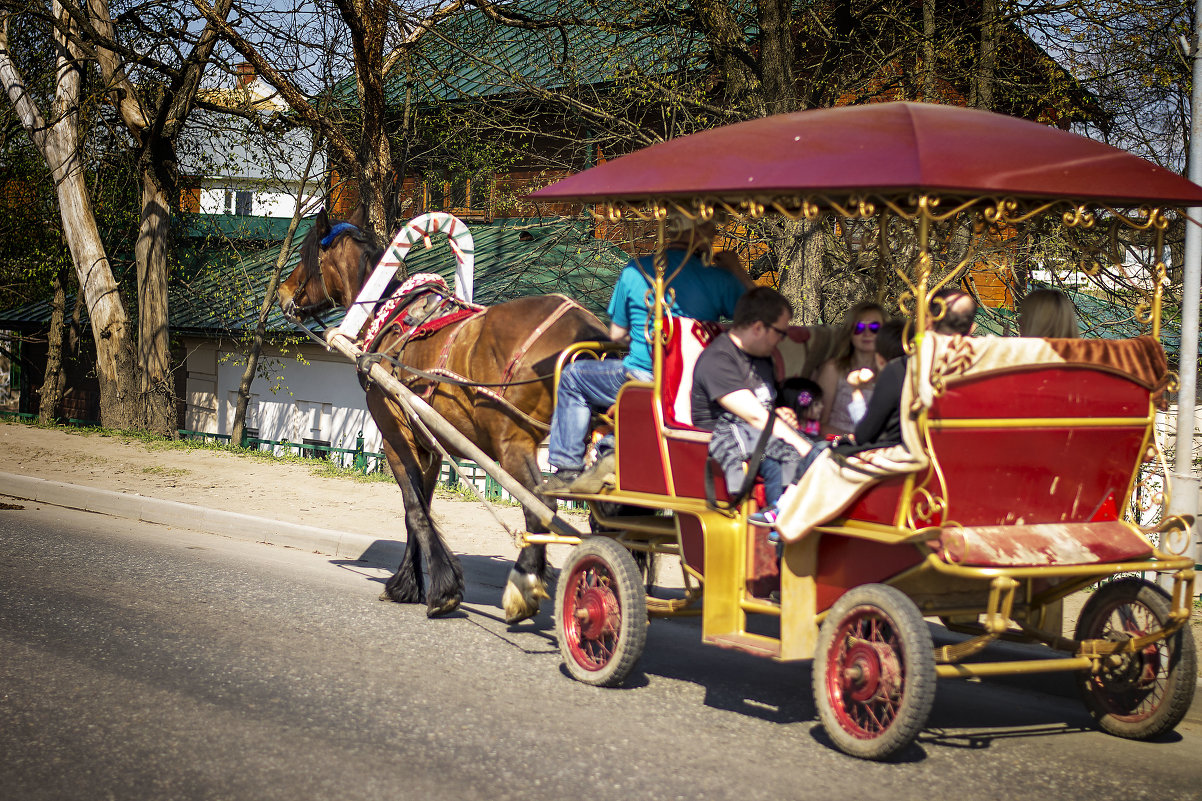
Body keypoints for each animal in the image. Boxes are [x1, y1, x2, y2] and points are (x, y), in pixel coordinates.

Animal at [276, 205, 605, 615]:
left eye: (308, 256)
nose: (282, 292)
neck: (391, 317)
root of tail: (586, 328)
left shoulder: (395, 436)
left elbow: (414, 509)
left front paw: (441, 589)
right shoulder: (429, 445)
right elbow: (420, 510)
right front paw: (408, 583)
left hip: (513, 444)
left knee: (541, 505)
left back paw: (524, 586)